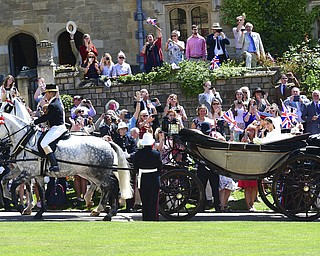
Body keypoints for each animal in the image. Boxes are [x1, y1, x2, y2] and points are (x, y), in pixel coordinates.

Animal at [0, 113, 132, 221]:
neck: (26, 141)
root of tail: (107, 142)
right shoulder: (31, 172)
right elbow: (7, 181)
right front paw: (38, 212)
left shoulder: (28, 172)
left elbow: (14, 185)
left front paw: (19, 205)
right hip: (91, 172)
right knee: (105, 187)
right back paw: (97, 209)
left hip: (99, 172)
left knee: (112, 186)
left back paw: (109, 213)